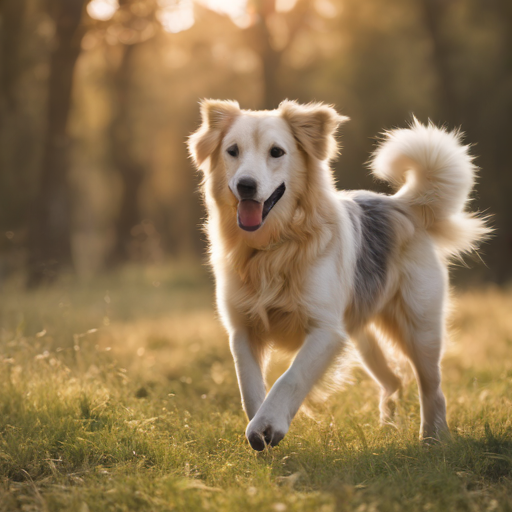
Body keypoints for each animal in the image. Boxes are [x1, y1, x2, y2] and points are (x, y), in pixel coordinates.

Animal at [187, 98, 488, 450]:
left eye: (276, 152)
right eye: (232, 151)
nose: (245, 185)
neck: (273, 248)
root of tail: (400, 205)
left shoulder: (326, 330)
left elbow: (291, 377)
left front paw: (269, 424)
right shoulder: (242, 330)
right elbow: (249, 387)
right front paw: (257, 429)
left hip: (419, 329)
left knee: (432, 389)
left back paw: (433, 438)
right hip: (363, 338)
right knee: (394, 381)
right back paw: (389, 428)